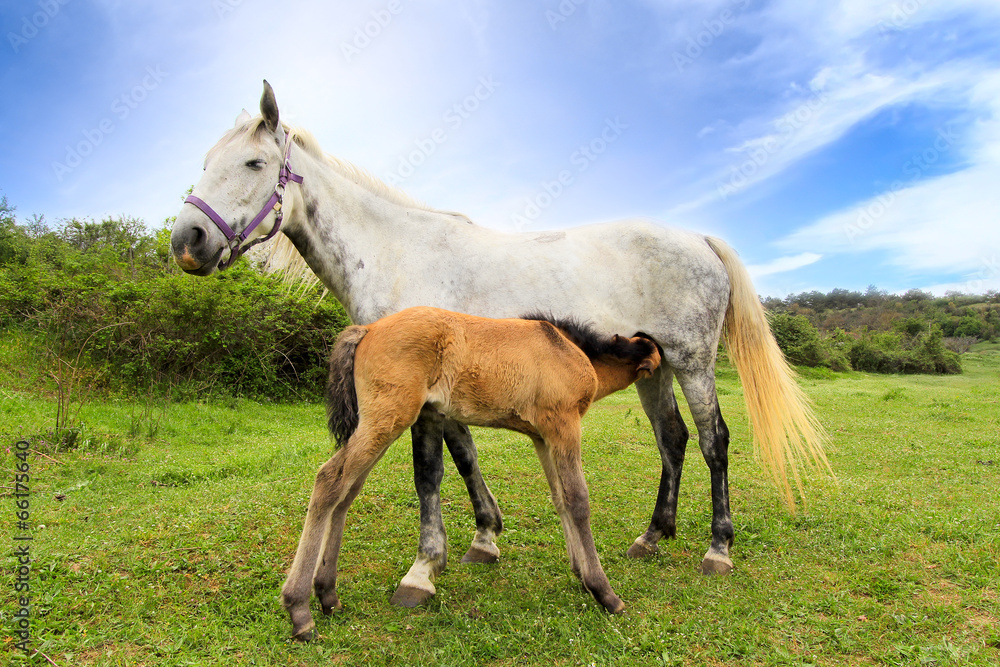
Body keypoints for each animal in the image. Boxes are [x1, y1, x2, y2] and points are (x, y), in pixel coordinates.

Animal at [281, 306, 662, 639]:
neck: (569, 349)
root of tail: (367, 330)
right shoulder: (563, 424)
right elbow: (578, 500)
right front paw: (604, 591)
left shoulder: (543, 437)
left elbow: (560, 499)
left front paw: (581, 573)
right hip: (388, 418)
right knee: (329, 481)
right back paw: (299, 609)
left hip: (380, 423)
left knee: (346, 492)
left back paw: (327, 594)